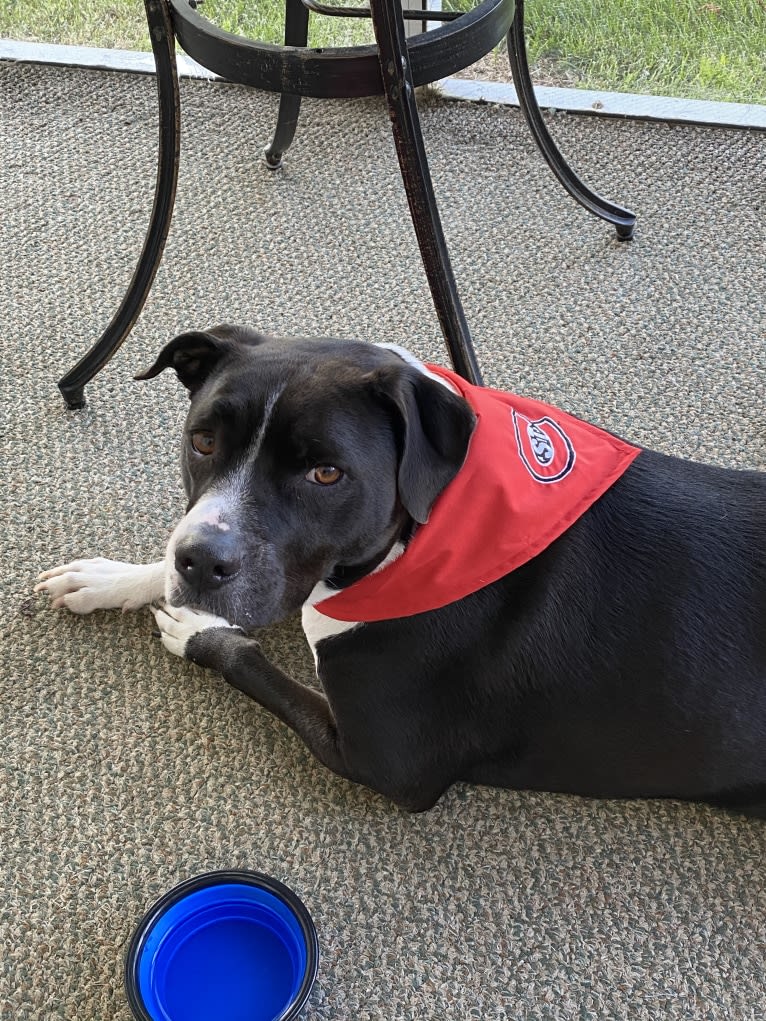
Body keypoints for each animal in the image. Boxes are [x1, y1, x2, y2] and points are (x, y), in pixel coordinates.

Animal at [39, 324, 766, 812]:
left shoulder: (383, 760)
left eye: (326, 473)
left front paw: (196, 630)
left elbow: (256, 666)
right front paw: (108, 578)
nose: (201, 562)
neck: (420, 532)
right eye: (203, 440)